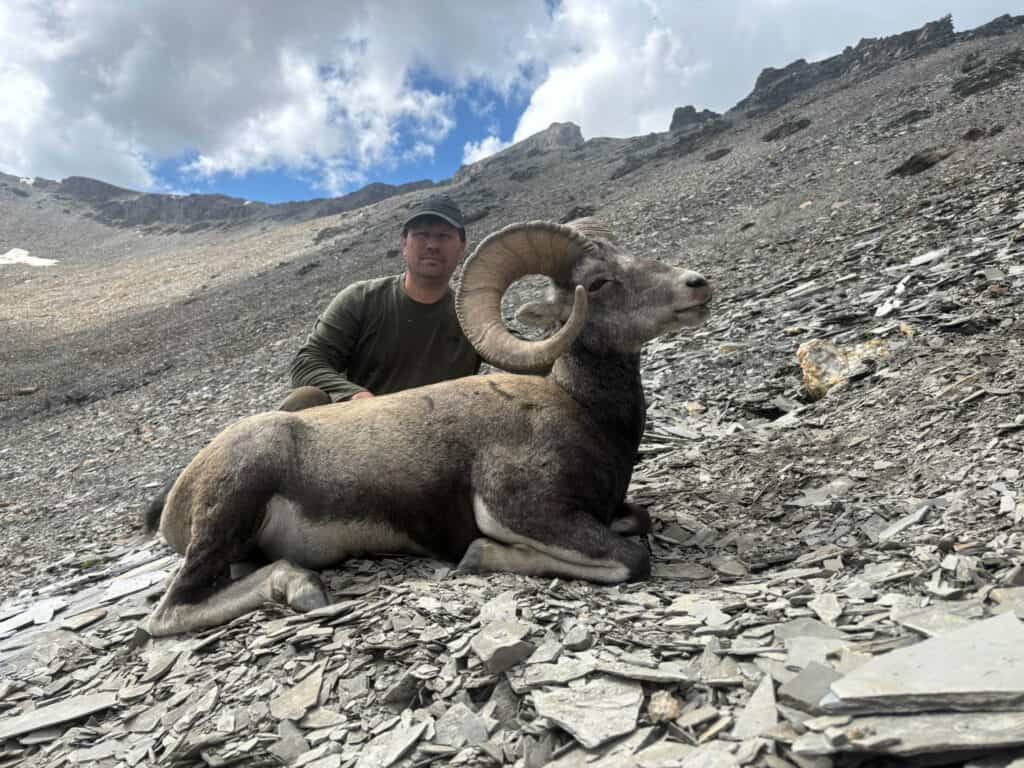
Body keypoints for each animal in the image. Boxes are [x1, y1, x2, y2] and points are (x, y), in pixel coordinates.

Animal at [143, 219, 711, 636]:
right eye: (597, 282)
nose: (697, 284)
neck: (581, 410)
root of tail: (176, 498)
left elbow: (638, 520)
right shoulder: (525, 512)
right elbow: (631, 559)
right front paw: (476, 557)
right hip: (234, 502)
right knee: (170, 611)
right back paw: (302, 588)